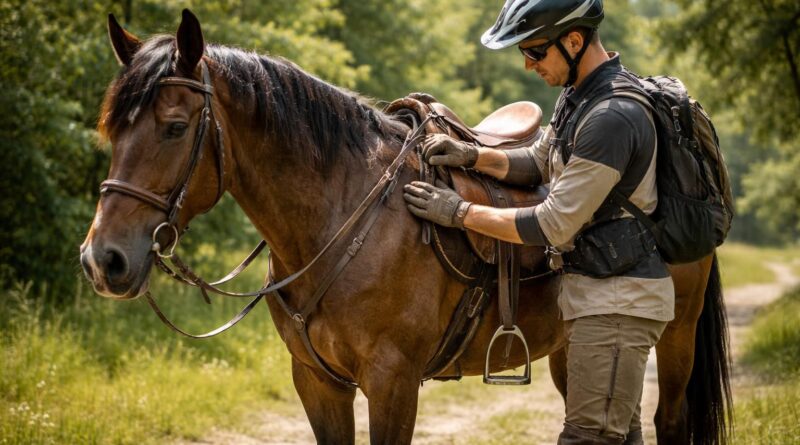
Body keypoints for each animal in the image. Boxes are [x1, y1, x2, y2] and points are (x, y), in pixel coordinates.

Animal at [79, 10, 731, 444]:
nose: (103, 260)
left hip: (672, 339)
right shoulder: (318, 382)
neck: (341, 220)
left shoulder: (392, 382)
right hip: (573, 350)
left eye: (174, 126)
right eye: (112, 127)